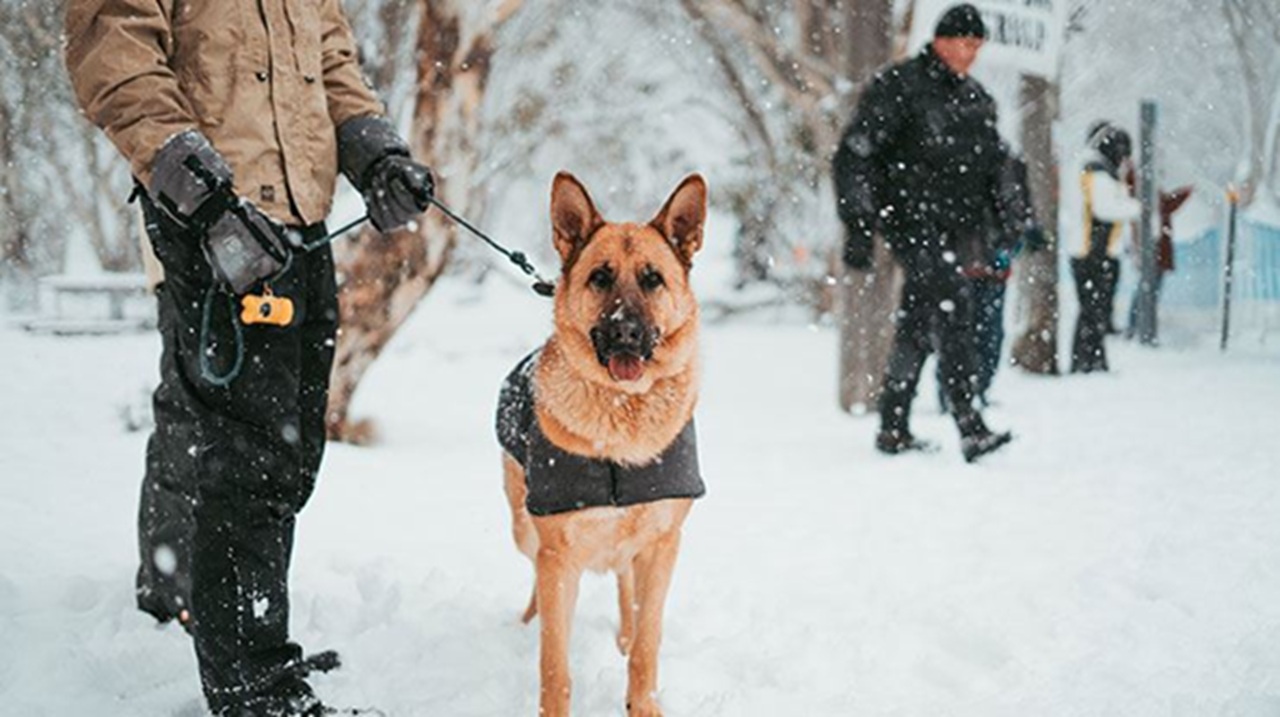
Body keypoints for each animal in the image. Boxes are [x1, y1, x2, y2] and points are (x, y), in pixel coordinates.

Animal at [494, 170, 706, 711]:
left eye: (652, 279)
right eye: (600, 278)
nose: (625, 332)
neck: (620, 414)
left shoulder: (663, 545)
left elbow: (648, 647)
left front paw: (644, 704)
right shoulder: (558, 556)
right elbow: (554, 665)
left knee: (625, 583)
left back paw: (623, 636)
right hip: (525, 529)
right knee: (537, 581)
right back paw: (525, 627)